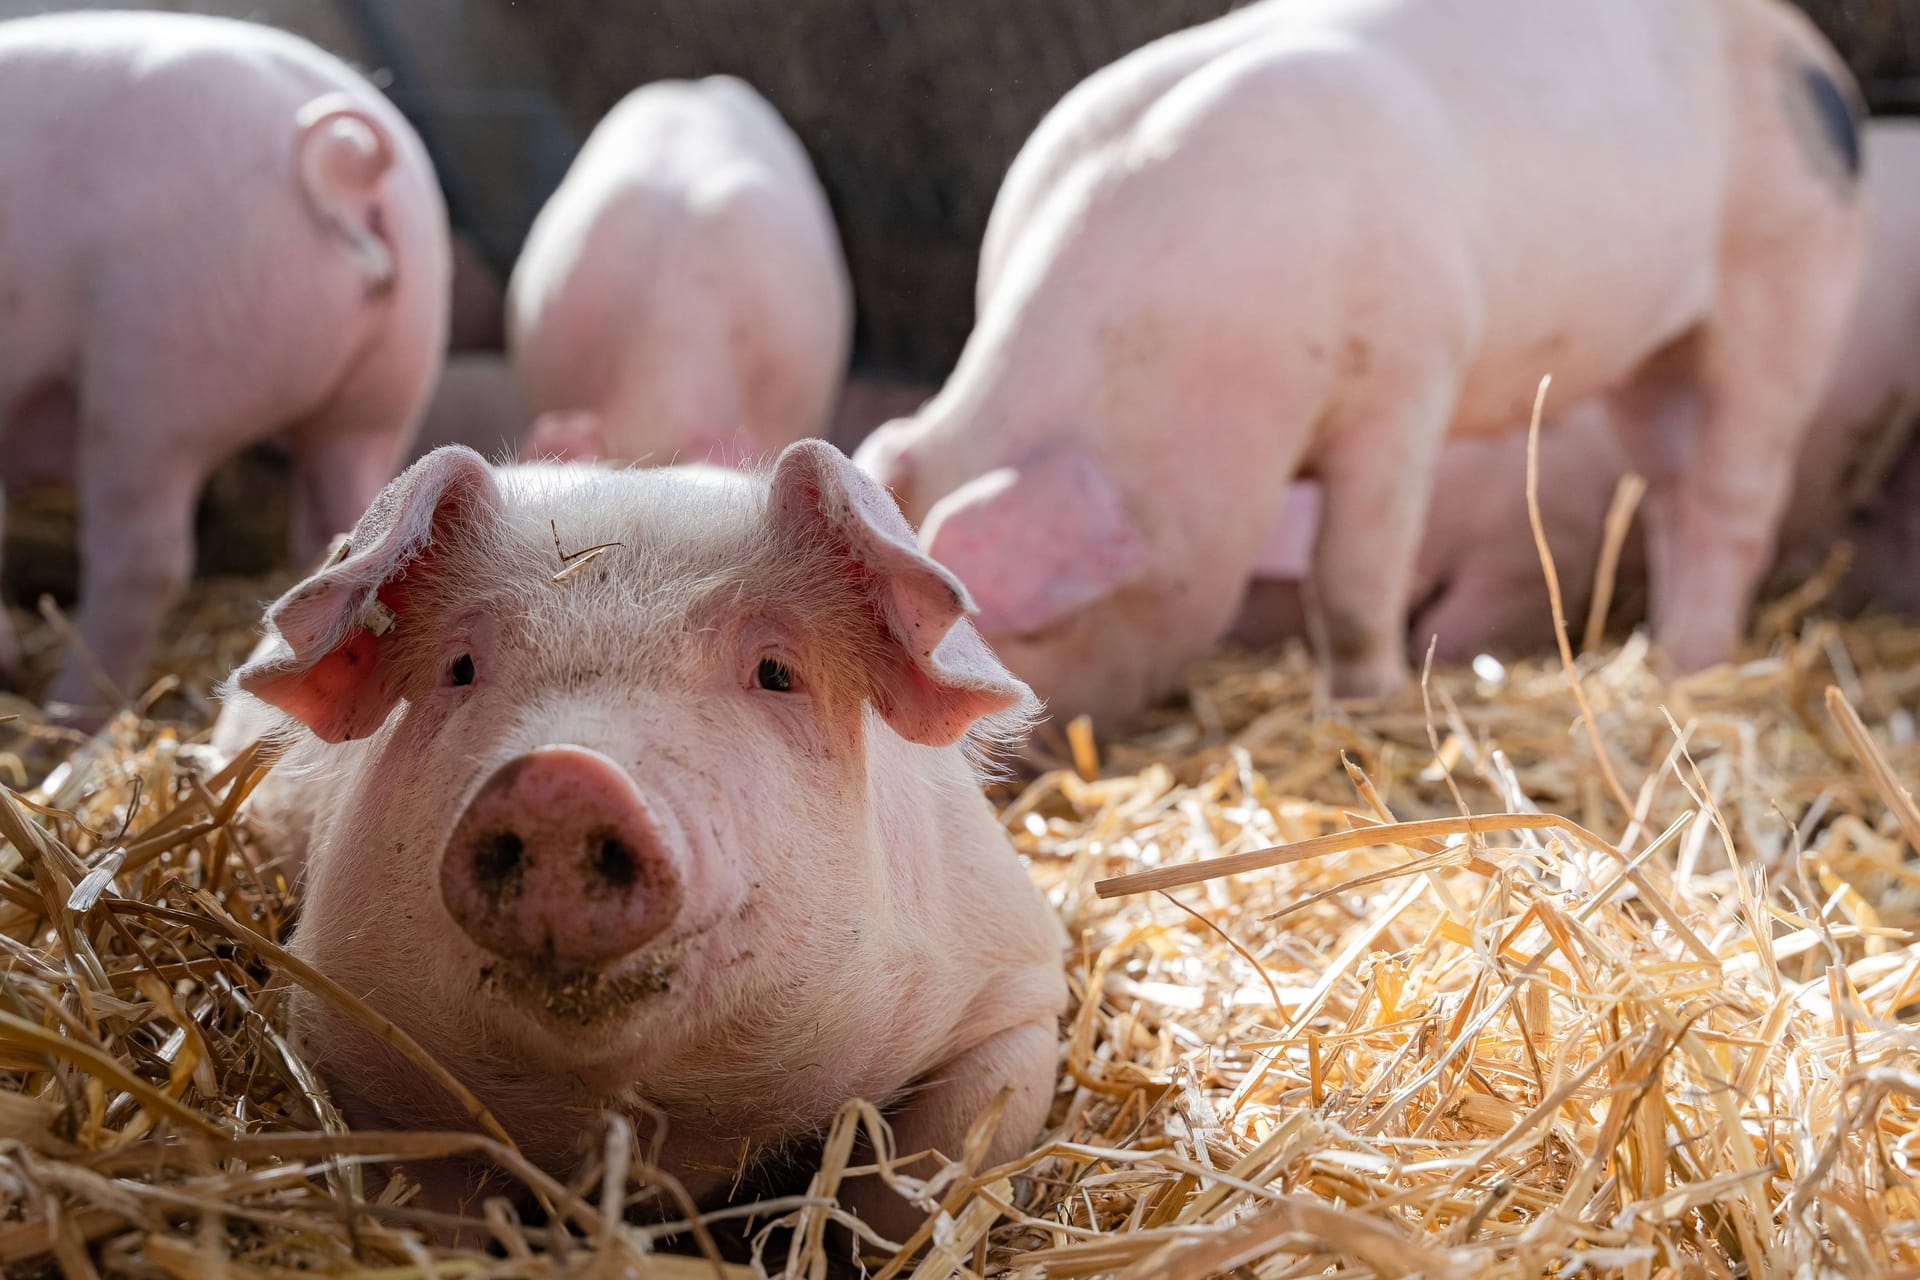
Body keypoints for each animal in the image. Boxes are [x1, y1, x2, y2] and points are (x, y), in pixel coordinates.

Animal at [0, 7, 449, 721]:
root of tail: (346, 166)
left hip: (157, 363)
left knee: (144, 562)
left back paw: (66, 713)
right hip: (387, 384)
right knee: (353, 518)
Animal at [220, 443, 1082, 1243]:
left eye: (777, 671)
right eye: (459, 666)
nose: (563, 778)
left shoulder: (1015, 990)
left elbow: (921, 1181)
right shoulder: (348, 1038)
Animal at [864, 0, 1866, 729]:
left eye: (1020, 628)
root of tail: (1817, 61)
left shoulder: (1406, 380)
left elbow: (1351, 577)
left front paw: (1368, 704)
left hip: (1788, 270)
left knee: (1735, 494)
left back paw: (1693, 668)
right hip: (1650, 352)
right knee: (1669, 486)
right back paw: (1667, 656)